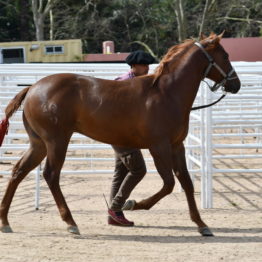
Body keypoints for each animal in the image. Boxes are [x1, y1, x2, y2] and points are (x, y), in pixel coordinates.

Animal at [0, 32, 241, 235]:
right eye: (225, 55)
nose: (236, 84)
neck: (166, 93)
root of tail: (31, 88)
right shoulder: (159, 146)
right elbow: (169, 183)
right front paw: (134, 204)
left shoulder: (176, 146)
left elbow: (186, 183)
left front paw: (201, 224)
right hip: (56, 141)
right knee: (51, 174)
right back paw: (71, 222)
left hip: (38, 144)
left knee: (18, 172)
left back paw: (5, 221)